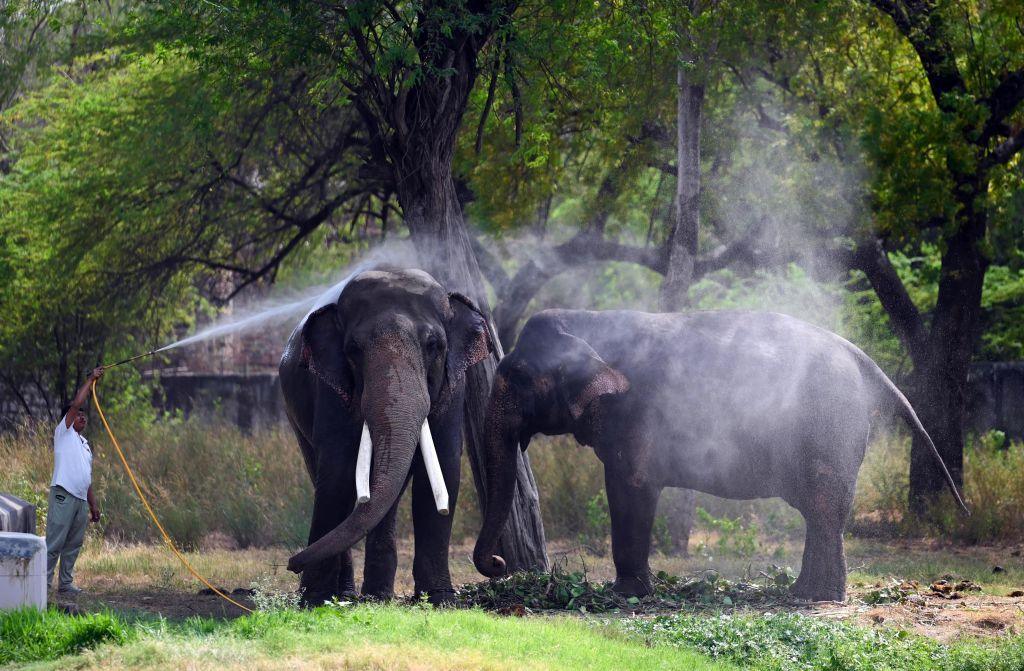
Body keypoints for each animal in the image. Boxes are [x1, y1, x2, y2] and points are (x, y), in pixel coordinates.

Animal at [278, 268, 489, 610]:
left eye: (434, 344)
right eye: (353, 349)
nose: (292, 563)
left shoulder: (453, 388)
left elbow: (442, 469)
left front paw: (441, 601)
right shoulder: (331, 388)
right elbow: (337, 473)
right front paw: (315, 600)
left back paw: (377, 596)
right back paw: (346, 595)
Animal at [473, 311, 966, 602]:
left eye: (519, 376)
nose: (498, 566)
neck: (590, 323)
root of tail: (862, 359)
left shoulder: (634, 414)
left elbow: (630, 487)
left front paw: (625, 597)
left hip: (830, 428)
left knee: (824, 508)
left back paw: (819, 599)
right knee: (818, 510)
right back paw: (801, 593)